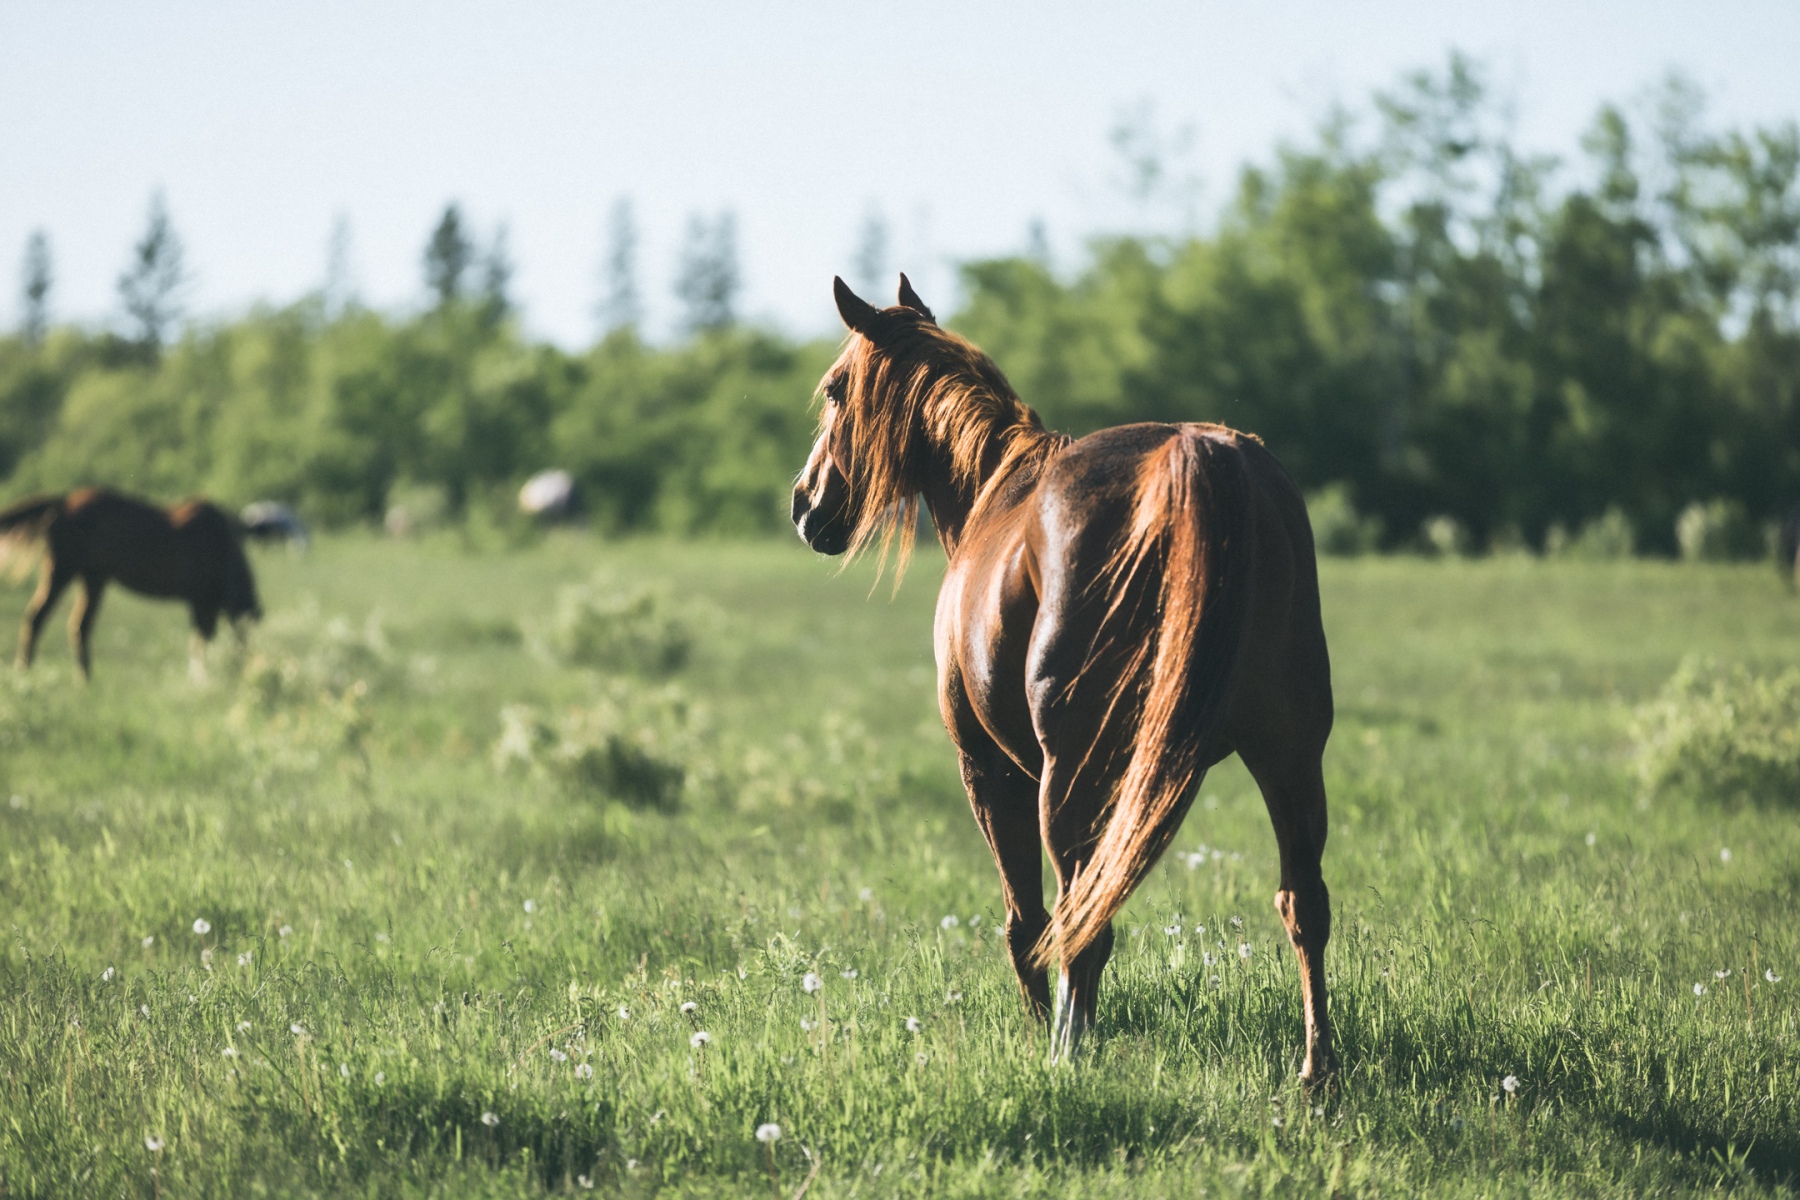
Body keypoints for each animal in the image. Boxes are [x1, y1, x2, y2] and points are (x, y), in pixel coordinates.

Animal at [0, 487, 262, 680]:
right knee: (37, 618)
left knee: (79, 626)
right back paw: (24, 672)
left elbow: (201, 640)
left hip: (93, 578)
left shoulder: (206, 604)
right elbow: (201, 640)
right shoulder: (201, 601)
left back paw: (85, 680)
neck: (223, 548)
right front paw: (201, 679)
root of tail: (62, 501)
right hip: (62, 571)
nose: (245, 670)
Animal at [791, 276, 1338, 1082]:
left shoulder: (988, 771)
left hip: (1073, 776)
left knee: (1082, 922)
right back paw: (1317, 1068)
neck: (994, 491)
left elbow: (1025, 921)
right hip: (1290, 757)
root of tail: (1201, 454)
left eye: (835, 390)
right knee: (1304, 904)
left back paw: (1064, 1054)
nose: (804, 505)